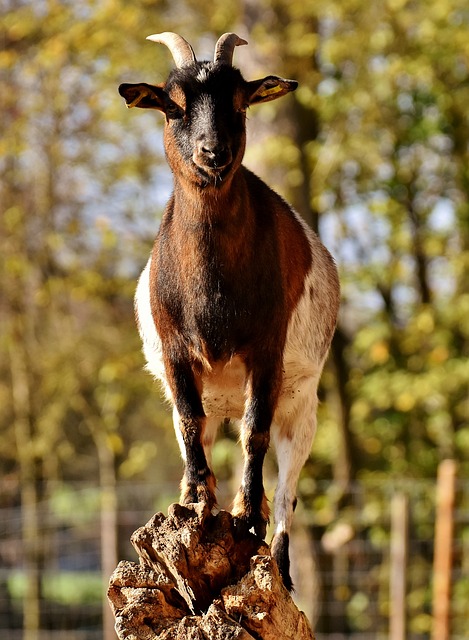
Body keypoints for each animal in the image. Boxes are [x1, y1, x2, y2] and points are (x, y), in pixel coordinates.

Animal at [119, 33, 338, 592]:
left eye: (240, 103)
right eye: (172, 105)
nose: (212, 153)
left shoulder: (266, 350)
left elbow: (256, 430)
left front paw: (247, 515)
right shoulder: (176, 353)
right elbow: (189, 422)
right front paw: (198, 498)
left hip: (302, 408)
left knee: (288, 490)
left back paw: (278, 561)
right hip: (216, 399)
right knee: (200, 429)